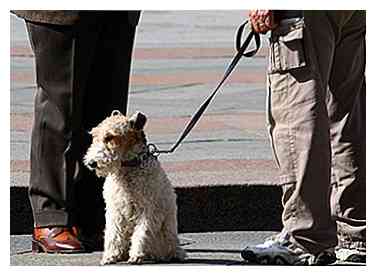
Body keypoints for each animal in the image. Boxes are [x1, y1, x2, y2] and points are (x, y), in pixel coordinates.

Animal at [84, 110, 187, 266]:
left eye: (109, 137)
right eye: (94, 135)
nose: (91, 163)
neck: (128, 167)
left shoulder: (148, 210)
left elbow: (141, 232)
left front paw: (136, 256)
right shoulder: (115, 209)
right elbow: (113, 233)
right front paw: (109, 256)